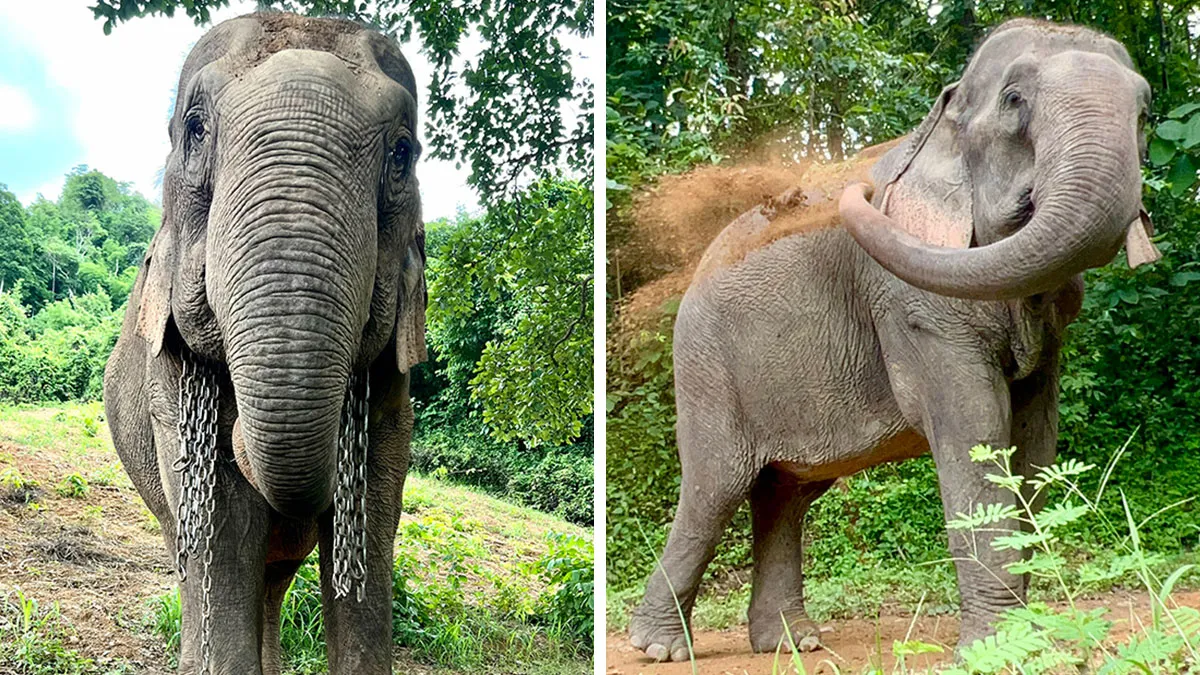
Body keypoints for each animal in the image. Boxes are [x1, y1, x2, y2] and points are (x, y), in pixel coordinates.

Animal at [103, 13, 427, 674]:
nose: (239, 436)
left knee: (274, 581)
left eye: (402, 154)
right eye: (194, 130)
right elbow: (222, 527)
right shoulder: (168, 383)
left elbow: (372, 513)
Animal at [629, 18, 1160, 662]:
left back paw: (793, 644)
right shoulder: (912, 305)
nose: (858, 192)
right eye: (1014, 101)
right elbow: (973, 428)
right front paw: (996, 652)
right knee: (715, 487)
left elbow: (1033, 443)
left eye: (1146, 114)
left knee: (784, 492)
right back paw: (660, 648)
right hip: (707, 367)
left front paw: (1029, 642)